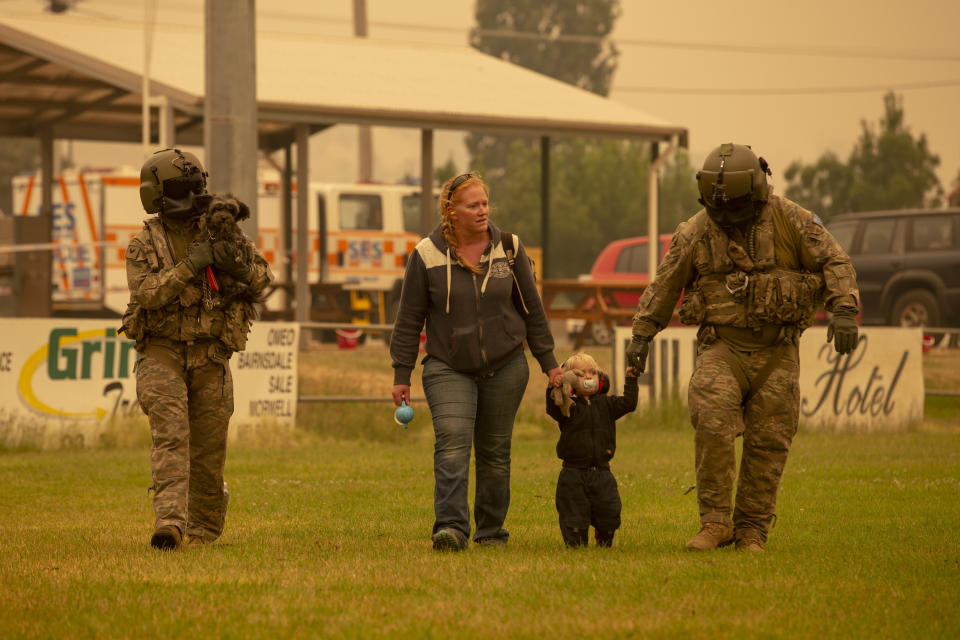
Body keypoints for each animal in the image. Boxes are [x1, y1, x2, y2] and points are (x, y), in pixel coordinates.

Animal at [124, 148, 272, 548]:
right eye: (216, 207)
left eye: (231, 209)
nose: (220, 216)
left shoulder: (242, 255)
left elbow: (256, 266)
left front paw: (232, 255)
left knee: (208, 453)